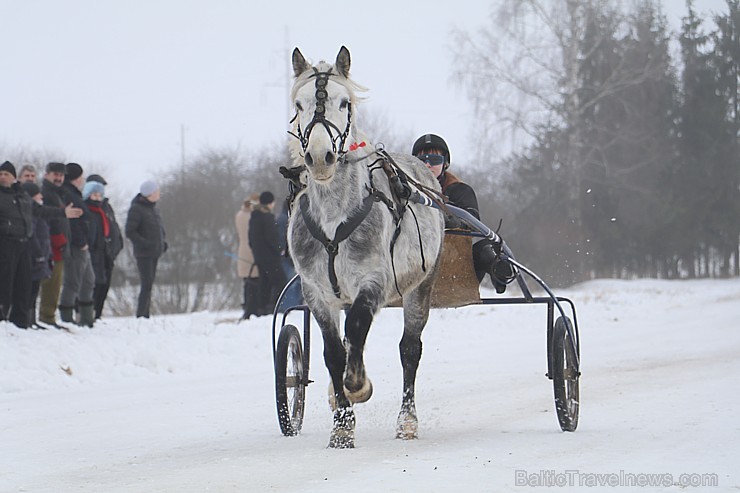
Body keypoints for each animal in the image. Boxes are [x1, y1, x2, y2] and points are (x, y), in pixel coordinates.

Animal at [286, 45, 442, 446]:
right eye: (298, 103)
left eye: (344, 102)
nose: (319, 157)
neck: (333, 217)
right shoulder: (316, 292)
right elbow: (333, 352)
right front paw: (341, 425)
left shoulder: (373, 280)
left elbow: (357, 328)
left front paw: (357, 386)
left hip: (421, 284)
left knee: (409, 349)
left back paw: (406, 420)